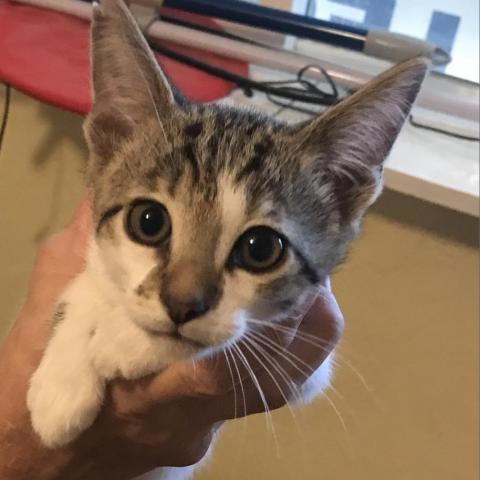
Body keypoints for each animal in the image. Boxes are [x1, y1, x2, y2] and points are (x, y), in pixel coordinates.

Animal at [26, 0, 426, 475]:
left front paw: (120, 342)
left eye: (261, 249)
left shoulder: (311, 360)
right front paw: (62, 383)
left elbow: (221, 343)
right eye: (148, 221)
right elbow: (87, 287)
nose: (182, 305)